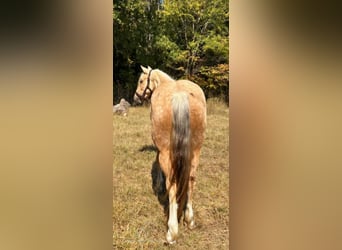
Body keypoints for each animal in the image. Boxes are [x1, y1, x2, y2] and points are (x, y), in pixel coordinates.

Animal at [134, 65, 206, 243]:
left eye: (141, 80)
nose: (136, 98)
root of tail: (179, 95)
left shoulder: (161, 149)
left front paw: (159, 184)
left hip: (168, 153)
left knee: (172, 184)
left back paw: (172, 231)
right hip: (196, 151)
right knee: (191, 180)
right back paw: (189, 219)